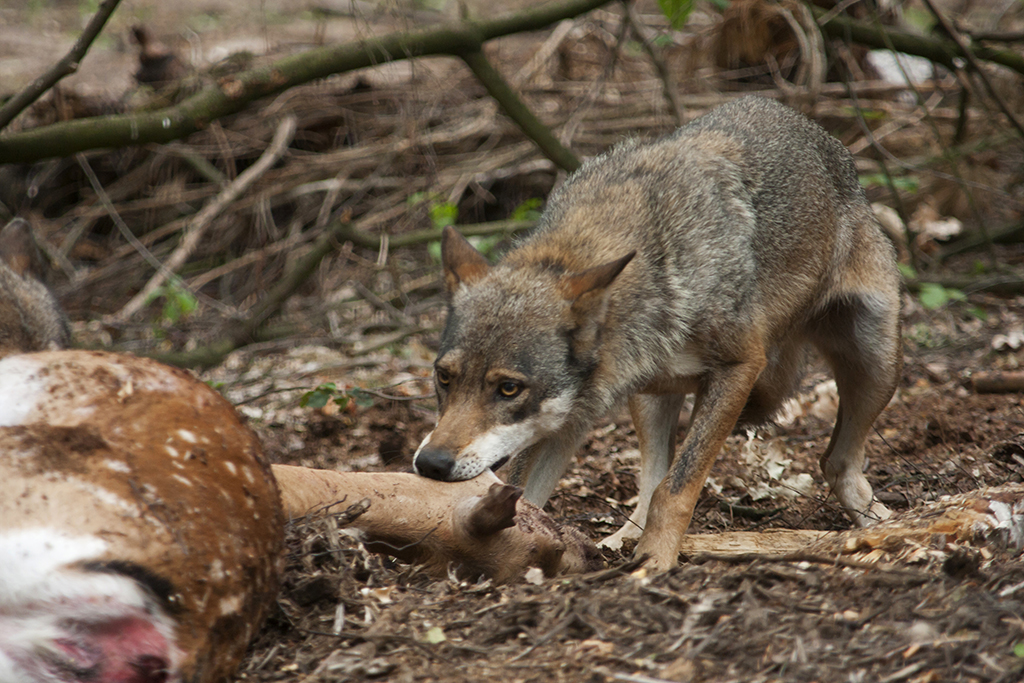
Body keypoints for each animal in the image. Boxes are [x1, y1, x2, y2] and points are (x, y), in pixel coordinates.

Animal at [411, 93, 901, 569]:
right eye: (444, 378)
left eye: (509, 389)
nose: (431, 463)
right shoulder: (572, 417)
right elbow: (531, 498)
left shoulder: (739, 367)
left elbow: (676, 489)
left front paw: (656, 561)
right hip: (649, 400)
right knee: (648, 483)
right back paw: (621, 539)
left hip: (876, 365)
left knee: (836, 462)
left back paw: (884, 526)